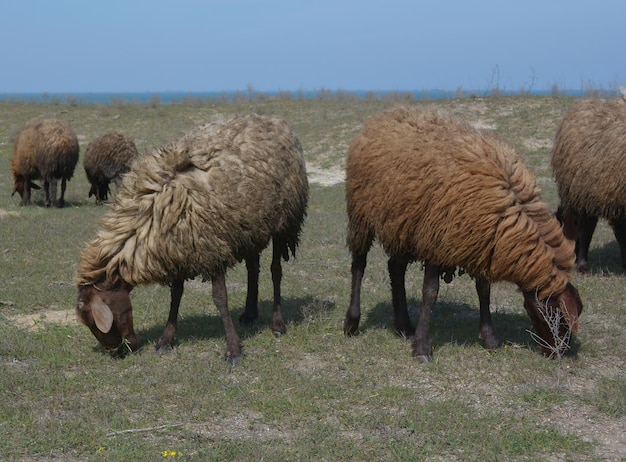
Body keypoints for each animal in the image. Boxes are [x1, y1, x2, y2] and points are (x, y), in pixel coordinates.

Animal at [74, 113, 308, 362]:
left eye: (96, 323)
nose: (118, 352)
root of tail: (274, 121)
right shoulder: (177, 247)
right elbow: (176, 294)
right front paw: (166, 339)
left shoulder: (210, 246)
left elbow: (220, 298)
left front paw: (233, 349)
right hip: (250, 226)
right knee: (253, 268)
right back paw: (250, 313)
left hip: (284, 222)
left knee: (276, 271)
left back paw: (277, 324)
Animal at [342, 107, 580, 360]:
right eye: (556, 314)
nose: (559, 352)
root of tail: (380, 118)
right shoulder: (436, 239)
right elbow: (430, 293)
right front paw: (422, 347)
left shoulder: (483, 243)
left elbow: (484, 291)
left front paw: (489, 338)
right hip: (361, 216)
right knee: (359, 265)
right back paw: (352, 322)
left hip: (402, 225)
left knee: (395, 269)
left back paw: (404, 325)